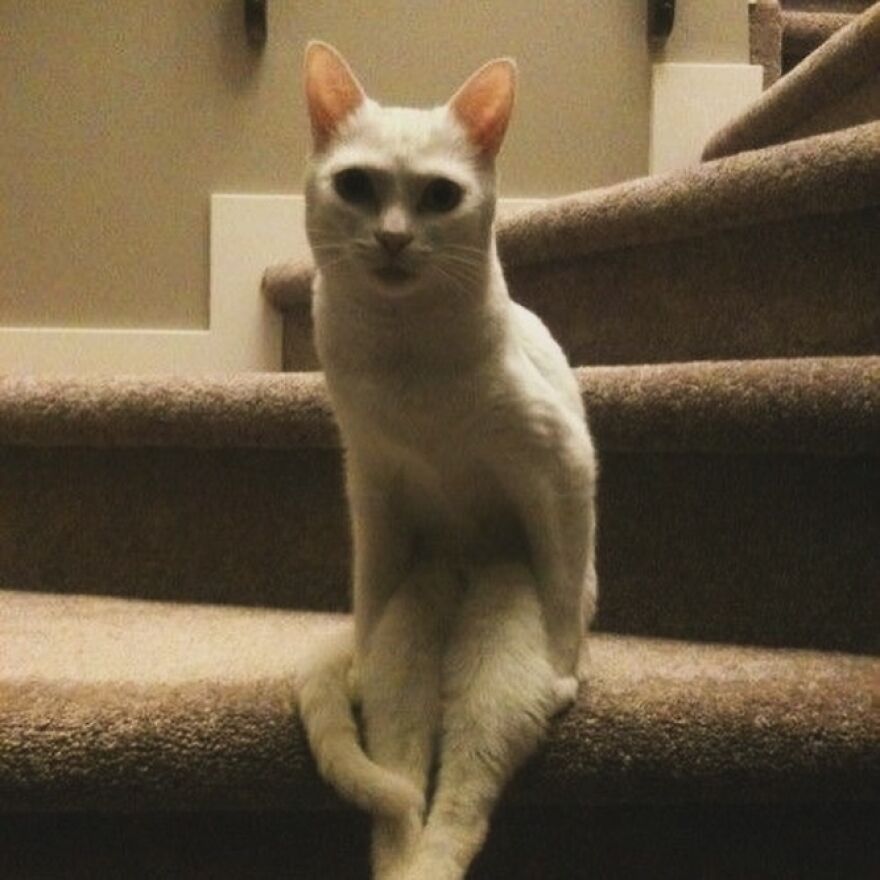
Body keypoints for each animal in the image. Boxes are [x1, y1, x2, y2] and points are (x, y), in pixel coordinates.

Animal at [296, 43, 600, 880]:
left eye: (439, 195)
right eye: (357, 187)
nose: (395, 238)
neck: (404, 363)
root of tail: (463, 574)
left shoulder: (561, 468)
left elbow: (563, 593)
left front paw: (569, 670)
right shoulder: (372, 484)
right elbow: (364, 590)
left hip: (498, 659)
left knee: (462, 795)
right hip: (408, 643)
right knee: (400, 777)